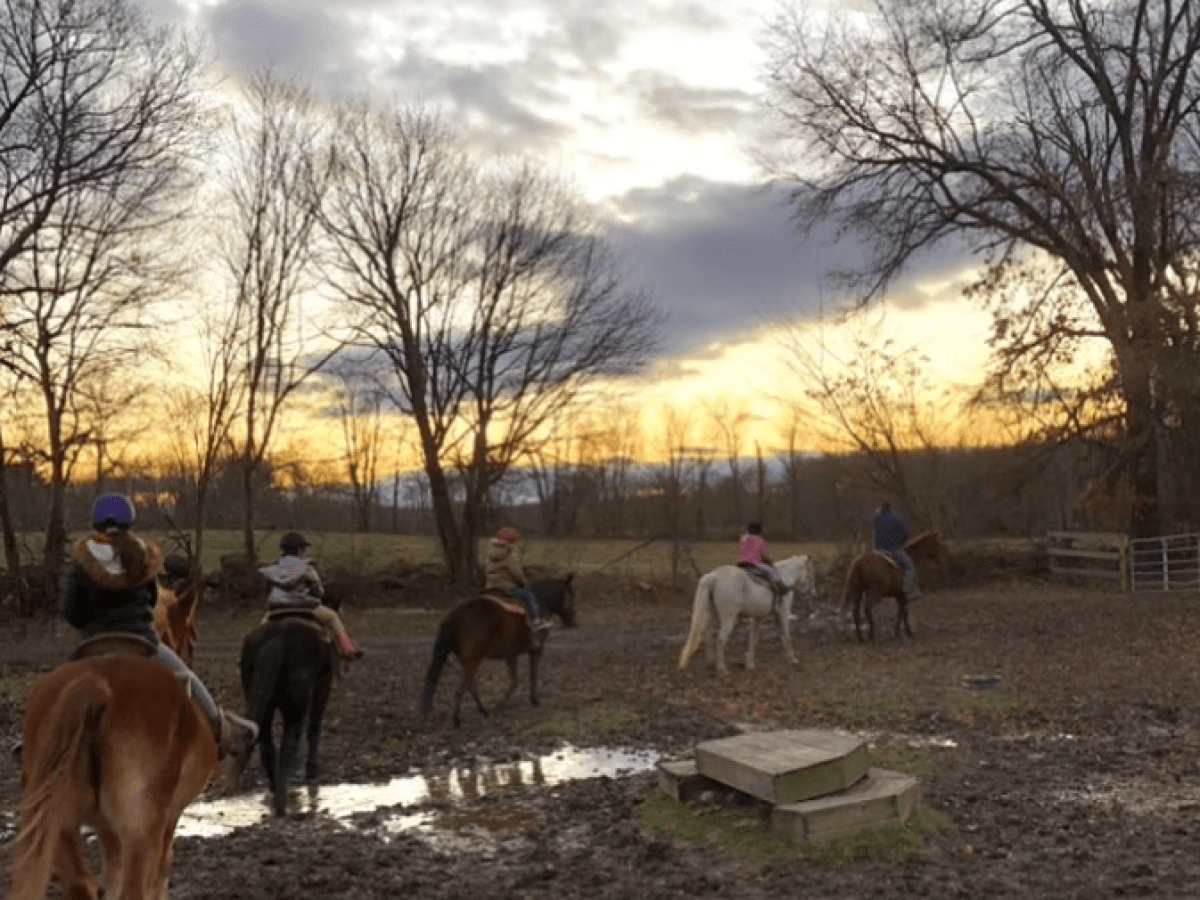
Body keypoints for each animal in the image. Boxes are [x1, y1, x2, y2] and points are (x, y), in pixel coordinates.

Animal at [11, 579, 213, 900]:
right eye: (191, 640)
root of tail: (94, 685)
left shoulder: (107, 830)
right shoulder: (167, 822)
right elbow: (158, 876)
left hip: (60, 825)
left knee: (81, 884)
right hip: (140, 832)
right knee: (134, 888)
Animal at [225, 606, 338, 817]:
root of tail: (276, 641)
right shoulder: (324, 682)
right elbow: (314, 726)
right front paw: (312, 772)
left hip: (264, 704)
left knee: (266, 744)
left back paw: (274, 788)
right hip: (296, 706)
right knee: (289, 744)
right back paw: (281, 802)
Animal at [419, 575, 577, 728]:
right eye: (571, 596)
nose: (573, 623)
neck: (541, 603)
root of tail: (454, 616)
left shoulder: (511, 655)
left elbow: (515, 680)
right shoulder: (536, 649)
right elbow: (530, 676)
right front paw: (532, 700)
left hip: (468, 661)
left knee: (470, 686)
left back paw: (483, 710)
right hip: (472, 661)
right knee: (463, 688)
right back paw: (457, 719)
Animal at [678, 555, 816, 676]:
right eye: (810, 571)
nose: (812, 590)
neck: (784, 577)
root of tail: (714, 577)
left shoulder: (758, 618)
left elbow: (754, 639)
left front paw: (750, 663)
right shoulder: (783, 613)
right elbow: (786, 636)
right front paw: (792, 658)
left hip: (712, 614)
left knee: (708, 635)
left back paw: (711, 663)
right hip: (729, 618)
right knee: (720, 640)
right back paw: (722, 669)